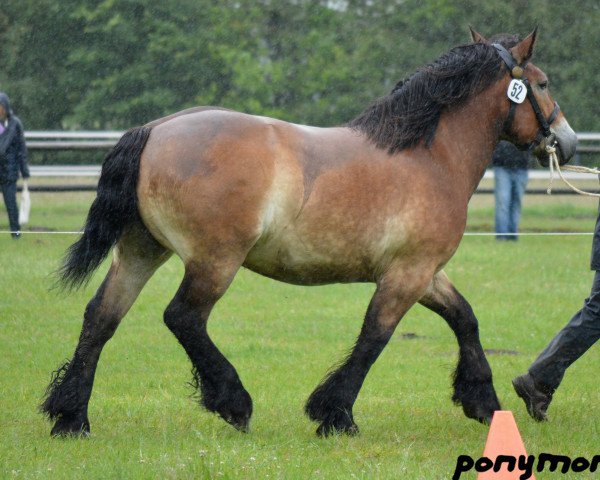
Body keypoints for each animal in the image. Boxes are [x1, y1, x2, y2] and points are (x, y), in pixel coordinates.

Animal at [39, 28, 580, 436]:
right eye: (543, 83)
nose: (568, 141)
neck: (429, 156)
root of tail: (154, 129)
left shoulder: (424, 273)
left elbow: (464, 318)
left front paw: (483, 402)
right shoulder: (406, 274)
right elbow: (374, 338)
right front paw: (334, 414)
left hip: (140, 249)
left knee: (101, 318)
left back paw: (72, 418)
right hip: (214, 260)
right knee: (183, 318)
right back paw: (233, 402)